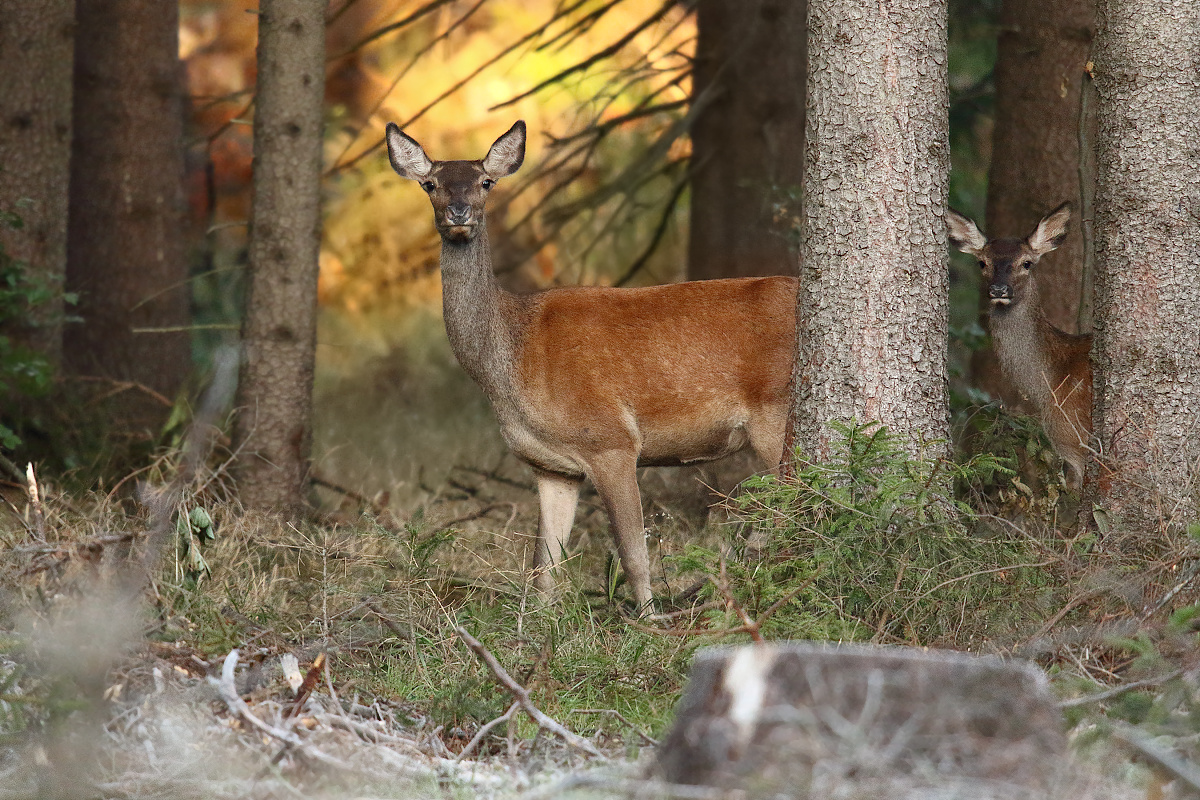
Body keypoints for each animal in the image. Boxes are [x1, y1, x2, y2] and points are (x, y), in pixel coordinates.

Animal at [386, 120, 796, 614]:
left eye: (486, 182)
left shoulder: (610, 440)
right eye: (430, 184)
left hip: (775, 412)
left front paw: (648, 621)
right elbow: (544, 569)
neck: (511, 361)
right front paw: (541, 626)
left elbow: (634, 554)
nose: (459, 212)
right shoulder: (553, 467)